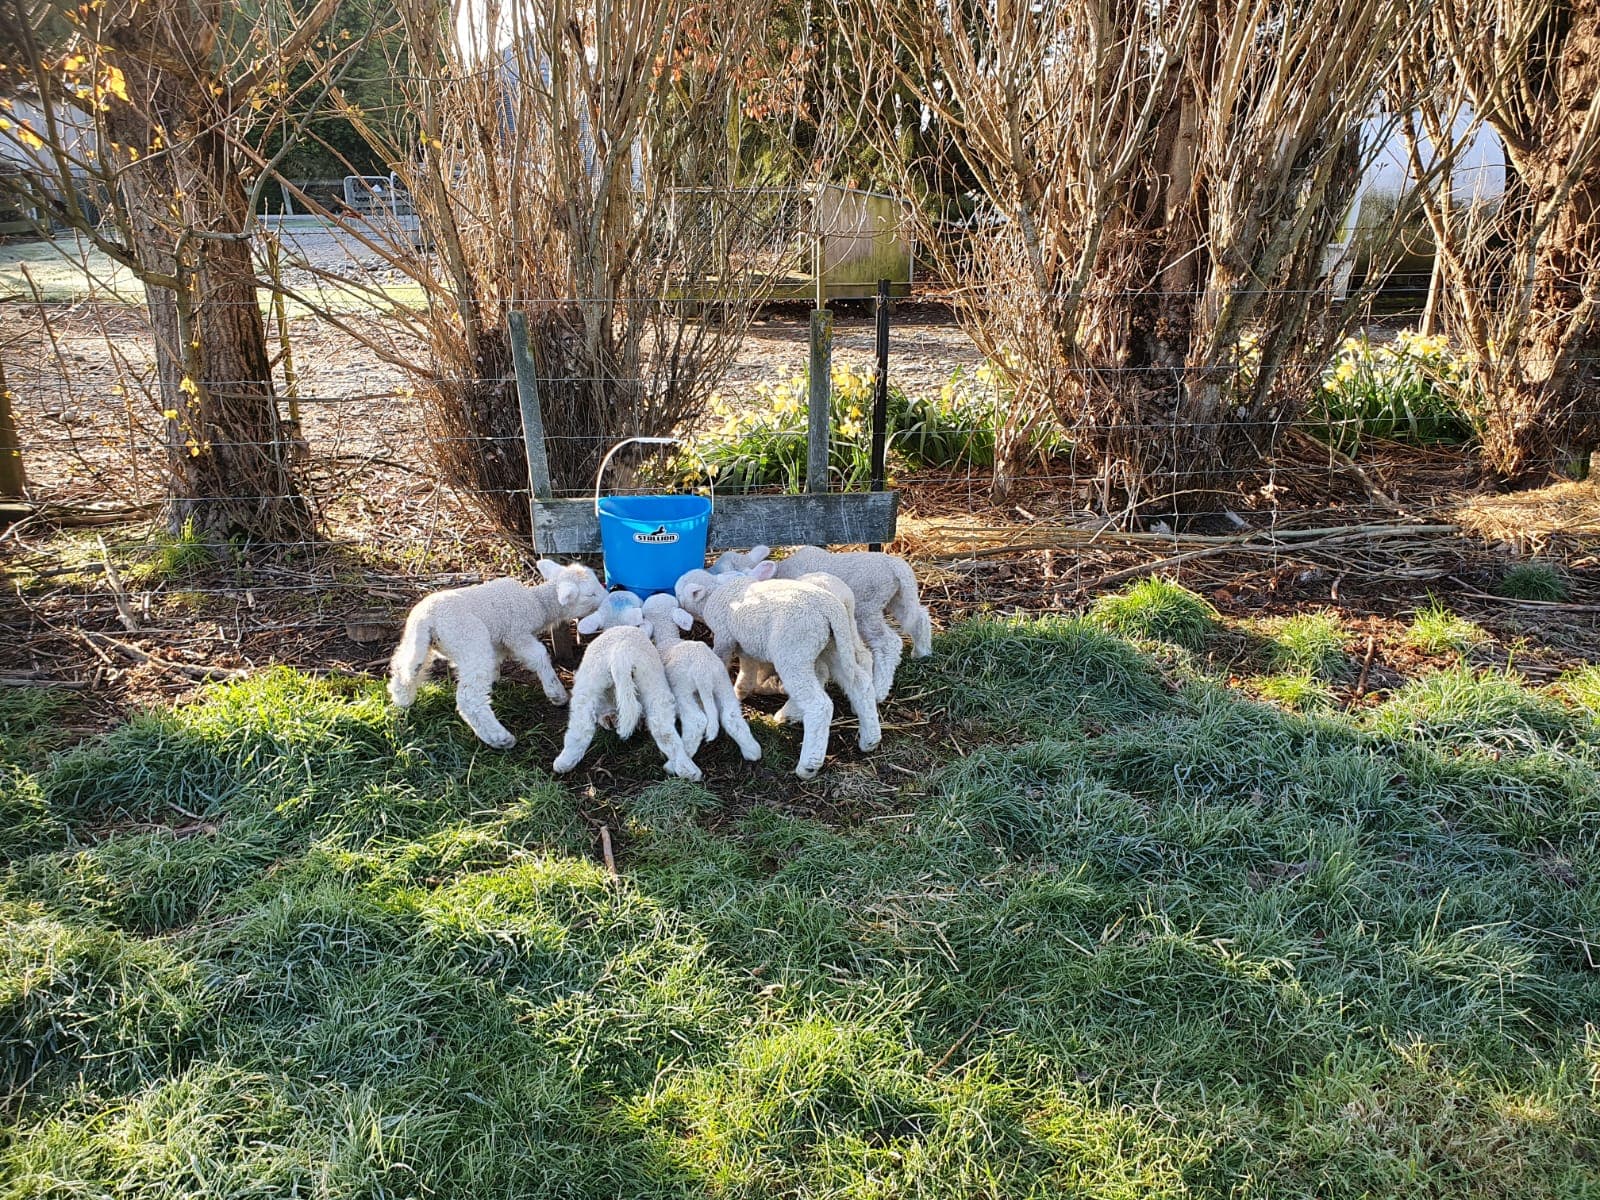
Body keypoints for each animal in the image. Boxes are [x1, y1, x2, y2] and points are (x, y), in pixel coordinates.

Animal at [388, 561, 607, 749]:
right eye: (590, 593)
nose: (607, 596)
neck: (537, 603)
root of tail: (428, 619)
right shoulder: (516, 633)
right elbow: (539, 656)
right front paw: (557, 694)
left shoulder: (499, 640)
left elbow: (496, 659)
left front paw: (494, 677)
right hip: (470, 641)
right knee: (469, 699)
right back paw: (499, 738)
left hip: (417, 641)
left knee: (404, 668)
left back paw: (403, 700)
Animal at [552, 592, 701, 780]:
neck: (617, 623)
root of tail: (619, 655)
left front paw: (608, 716)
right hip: (652, 680)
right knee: (663, 729)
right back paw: (688, 770)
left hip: (588, 682)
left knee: (581, 727)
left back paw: (564, 763)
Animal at [639, 593, 763, 762]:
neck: (668, 639)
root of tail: (703, 672)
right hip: (723, 683)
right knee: (731, 717)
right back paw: (752, 752)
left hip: (682, 689)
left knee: (697, 720)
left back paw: (685, 754)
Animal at [675, 568, 880, 779]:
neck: (716, 590)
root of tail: (831, 609)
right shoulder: (745, 643)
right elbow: (748, 667)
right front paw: (741, 690)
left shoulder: (725, 637)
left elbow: (721, 657)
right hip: (834, 645)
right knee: (860, 683)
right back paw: (870, 739)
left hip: (794, 652)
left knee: (819, 705)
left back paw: (808, 765)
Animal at [711, 545, 932, 701]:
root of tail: (897, 566)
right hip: (898, 597)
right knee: (919, 616)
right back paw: (922, 652)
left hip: (867, 607)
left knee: (888, 642)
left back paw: (879, 690)